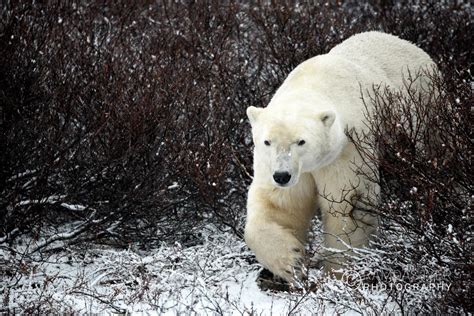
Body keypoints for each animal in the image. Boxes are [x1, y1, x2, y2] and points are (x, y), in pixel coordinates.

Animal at [246, 31, 436, 284]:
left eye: (301, 141)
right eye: (267, 142)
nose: (282, 176)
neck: (313, 82)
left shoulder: (347, 150)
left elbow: (347, 208)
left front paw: (339, 274)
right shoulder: (281, 167)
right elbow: (279, 206)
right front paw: (291, 262)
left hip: (426, 108)